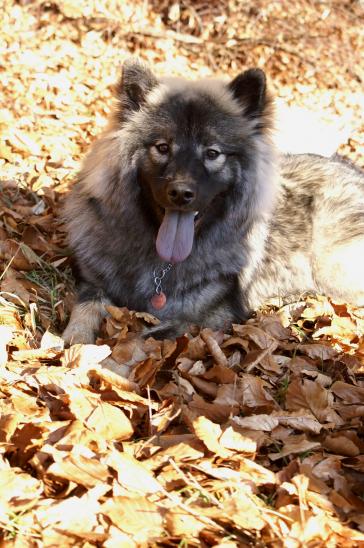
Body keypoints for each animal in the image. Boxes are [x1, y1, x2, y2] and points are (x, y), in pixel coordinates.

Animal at [61, 58, 362, 342]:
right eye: (163, 147)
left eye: (212, 153)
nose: (181, 193)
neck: (160, 265)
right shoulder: (96, 282)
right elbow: (85, 310)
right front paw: (74, 342)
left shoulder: (209, 315)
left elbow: (148, 337)